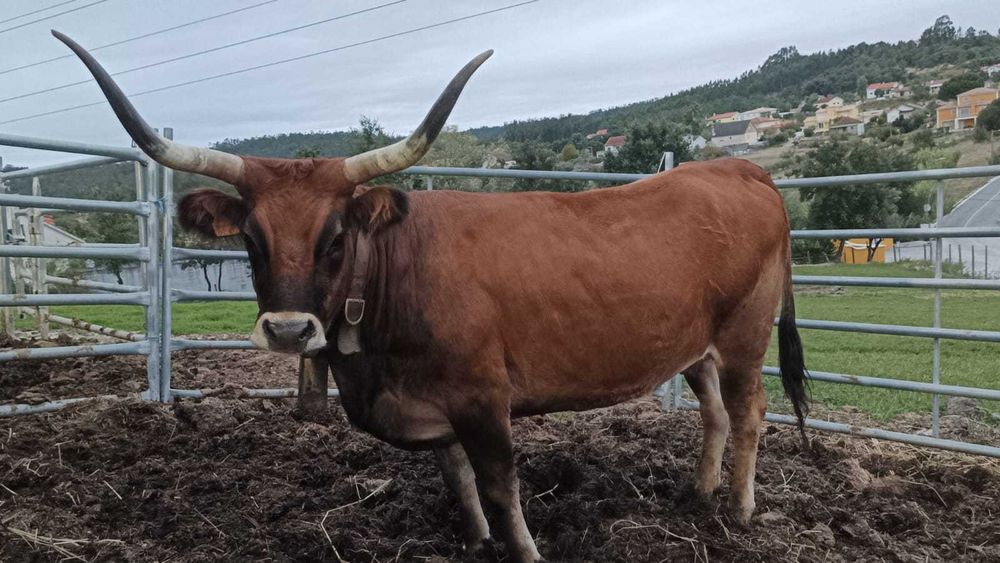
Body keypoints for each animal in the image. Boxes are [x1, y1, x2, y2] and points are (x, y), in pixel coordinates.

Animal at [56, 30, 809, 563]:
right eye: (252, 239)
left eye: (335, 236)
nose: (291, 331)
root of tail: (737, 169)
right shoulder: (435, 404)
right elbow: (458, 477)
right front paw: (473, 540)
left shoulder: (483, 398)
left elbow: (501, 485)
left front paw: (522, 550)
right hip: (696, 345)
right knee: (713, 413)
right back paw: (698, 494)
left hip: (745, 337)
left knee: (750, 413)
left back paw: (738, 511)